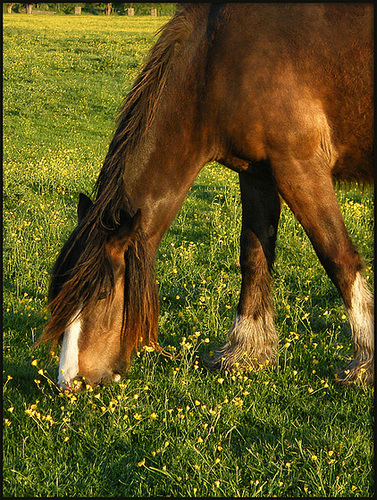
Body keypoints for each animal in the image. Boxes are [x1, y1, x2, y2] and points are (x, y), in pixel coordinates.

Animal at [36, 3, 374, 390]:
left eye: (103, 295)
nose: (69, 381)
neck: (217, 61)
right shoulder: (257, 173)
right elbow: (254, 256)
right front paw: (245, 353)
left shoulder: (299, 166)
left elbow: (337, 257)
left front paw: (364, 365)